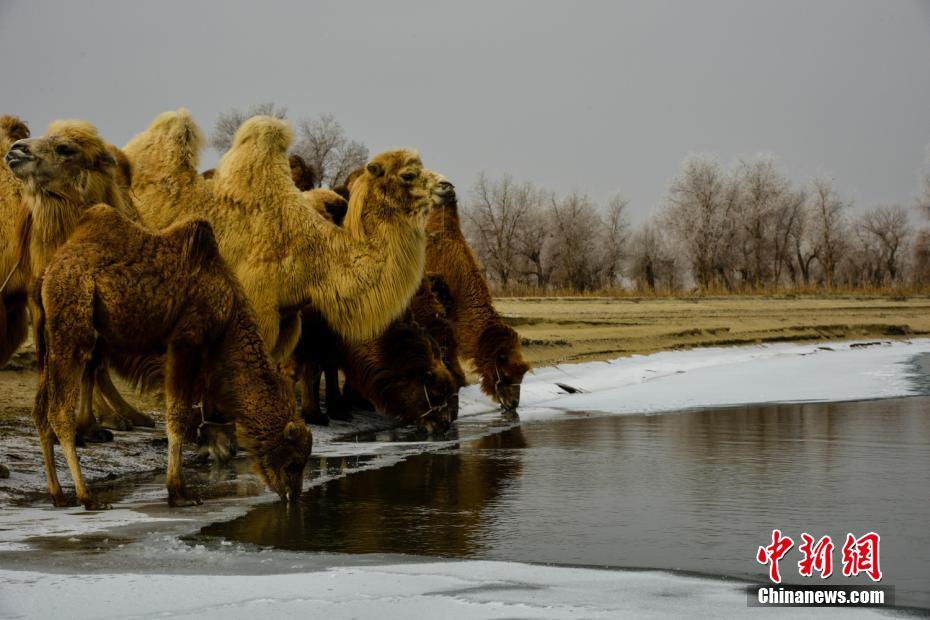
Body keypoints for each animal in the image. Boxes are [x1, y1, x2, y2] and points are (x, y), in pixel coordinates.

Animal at [5, 117, 156, 436]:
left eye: (65, 148)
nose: (16, 150)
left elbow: (89, 360)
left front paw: (88, 426)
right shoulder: (38, 301)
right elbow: (49, 356)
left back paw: (127, 416)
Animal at [34, 206, 310, 506]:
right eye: (294, 462)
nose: (293, 495)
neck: (228, 314)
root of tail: (47, 273)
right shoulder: (186, 339)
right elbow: (177, 414)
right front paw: (179, 492)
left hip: (51, 339)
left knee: (41, 411)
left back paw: (58, 494)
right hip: (72, 321)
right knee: (59, 411)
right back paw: (87, 496)